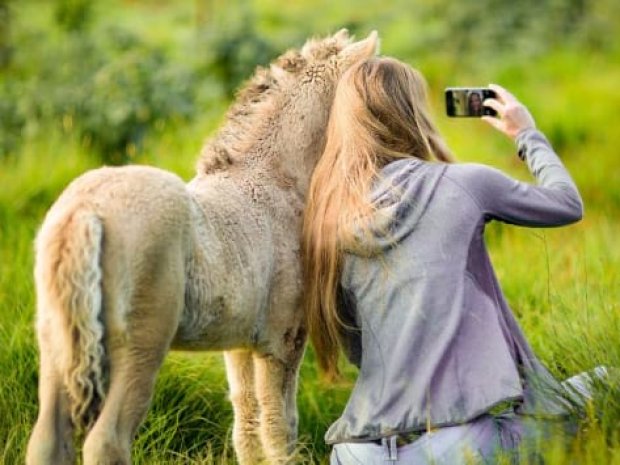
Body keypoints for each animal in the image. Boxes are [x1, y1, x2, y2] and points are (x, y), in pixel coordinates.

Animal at [25, 29, 378, 464]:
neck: (276, 181)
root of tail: (86, 210)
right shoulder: (283, 339)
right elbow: (280, 426)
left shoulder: (241, 342)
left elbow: (247, 422)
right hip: (140, 347)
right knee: (106, 440)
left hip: (57, 340)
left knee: (46, 437)